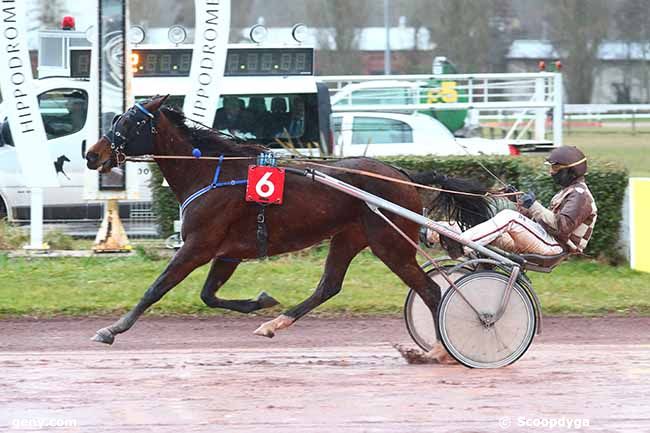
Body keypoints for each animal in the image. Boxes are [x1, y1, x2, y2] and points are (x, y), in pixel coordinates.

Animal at [86, 95, 492, 362]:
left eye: (128, 123)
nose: (92, 154)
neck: (210, 171)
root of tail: (402, 174)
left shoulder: (198, 245)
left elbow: (155, 289)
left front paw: (112, 329)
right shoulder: (227, 252)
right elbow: (209, 295)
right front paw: (262, 302)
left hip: (389, 242)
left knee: (432, 290)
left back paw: (440, 348)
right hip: (348, 237)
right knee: (329, 286)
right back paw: (275, 323)